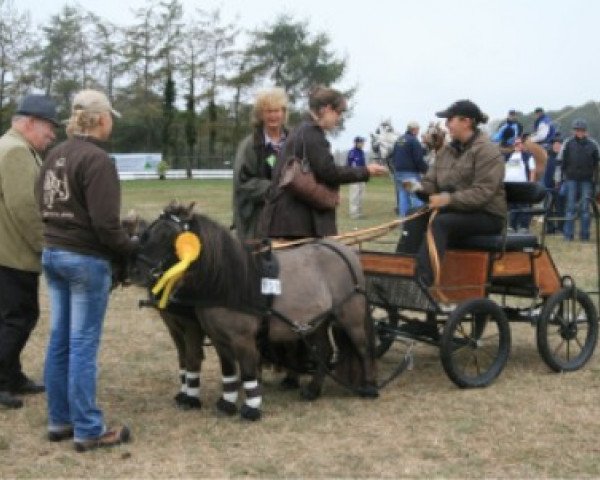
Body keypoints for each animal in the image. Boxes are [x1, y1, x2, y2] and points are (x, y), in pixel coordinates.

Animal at [129, 204, 378, 422]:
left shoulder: (242, 339)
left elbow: (247, 372)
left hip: (350, 316)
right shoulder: (219, 340)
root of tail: (346, 252)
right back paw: (313, 390)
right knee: (325, 351)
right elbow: (228, 371)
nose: (137, 272)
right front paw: (226, 404)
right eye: (147, 234)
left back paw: (369, 387)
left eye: (171, 238)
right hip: (316, 322)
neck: (229, 281)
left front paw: (251, 409)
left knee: (363, 348)